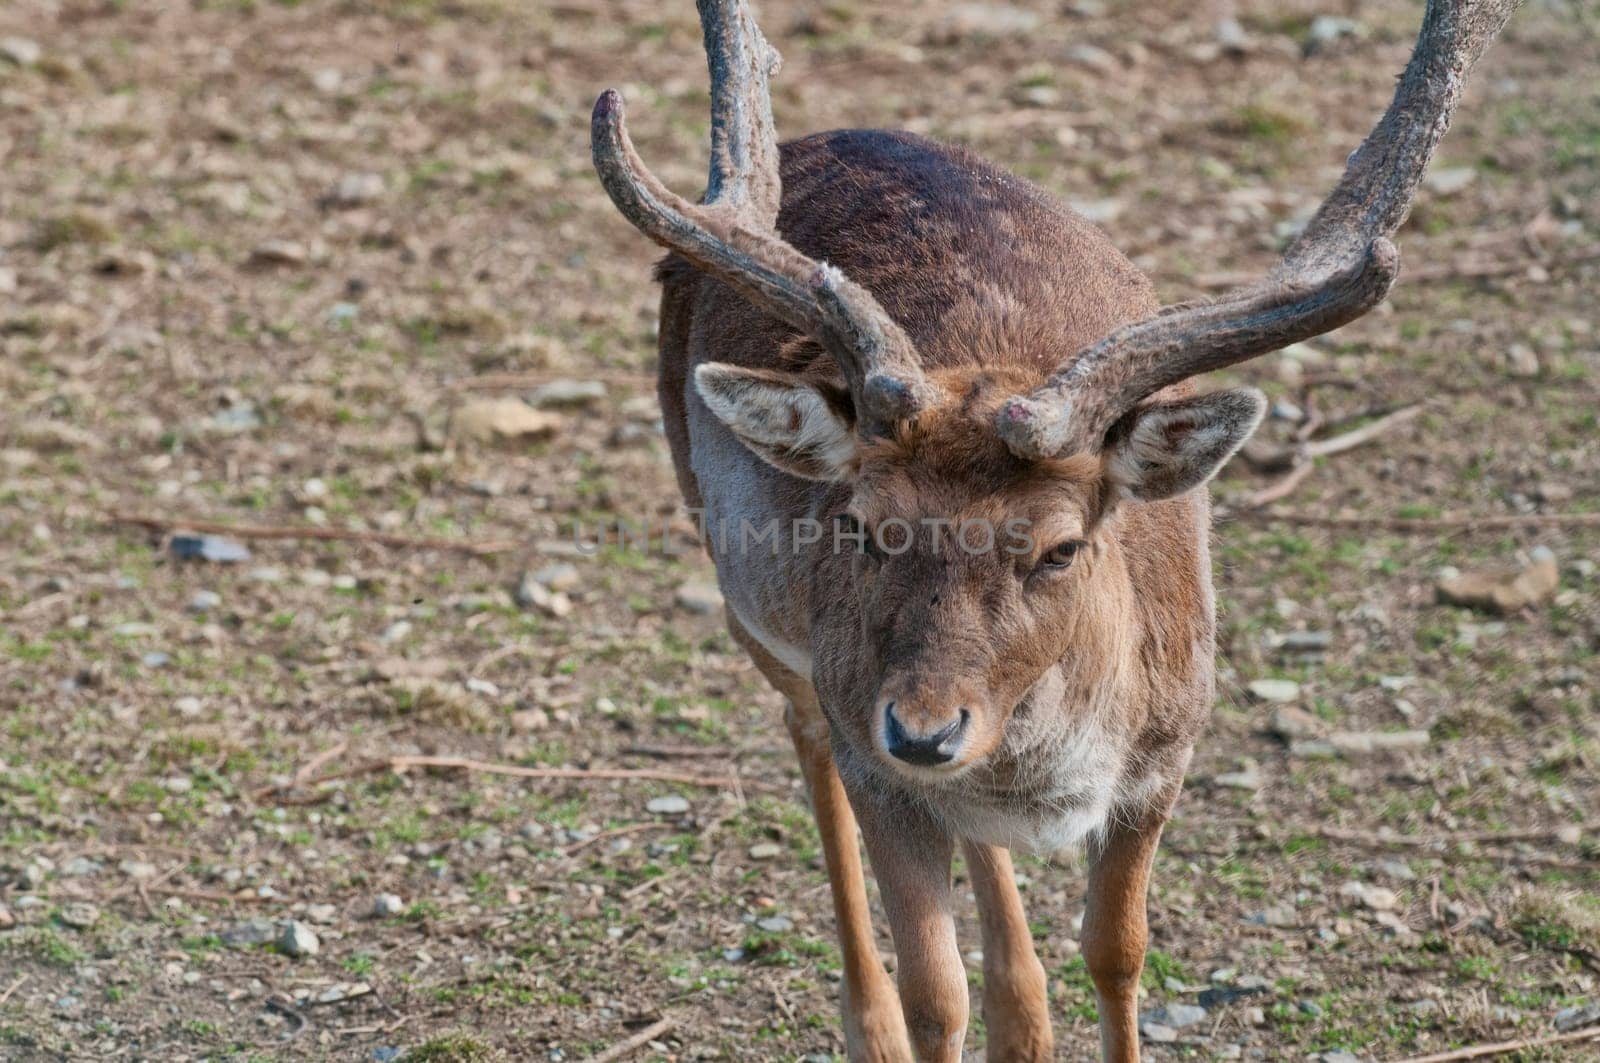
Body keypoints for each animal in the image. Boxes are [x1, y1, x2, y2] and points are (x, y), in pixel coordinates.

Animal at [592, 4, 1523, 1056]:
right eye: (863, 528)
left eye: (1060, 546)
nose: (922, 728)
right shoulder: (877, 759)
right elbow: (934, 988)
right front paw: (919, 1011)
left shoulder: (1167, 754)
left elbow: (1118, 950)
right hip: (760, 616)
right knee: (808, 740)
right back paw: (873, 1022)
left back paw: (1024, 1016)